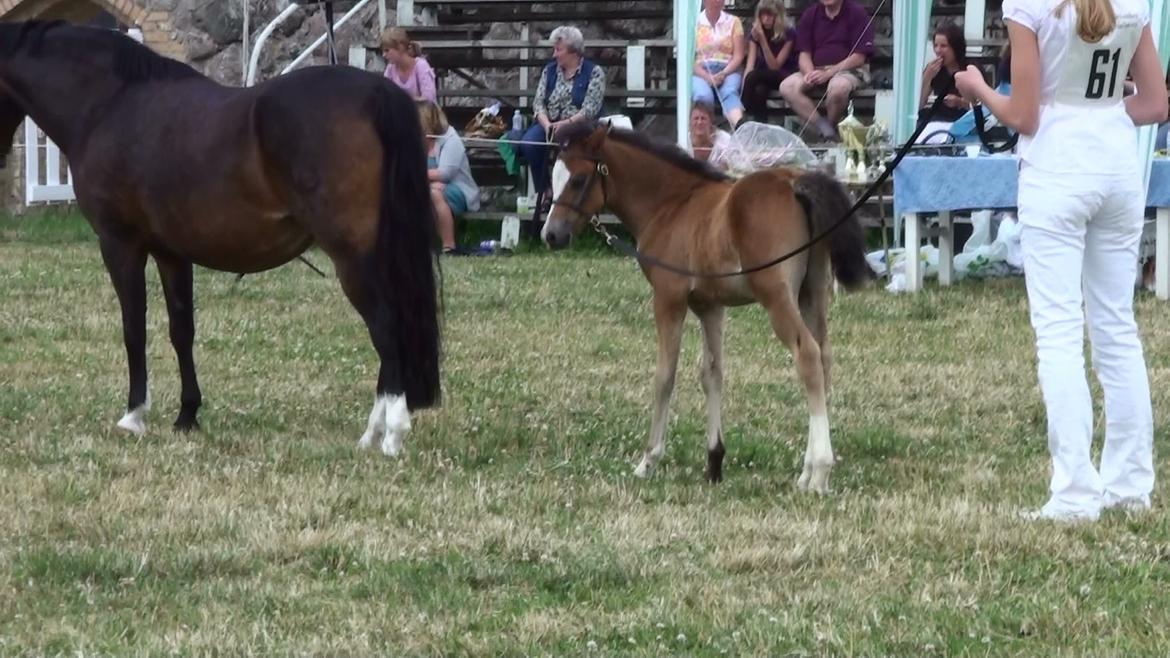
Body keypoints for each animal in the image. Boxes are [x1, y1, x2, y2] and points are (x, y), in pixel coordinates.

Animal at [0, 21, 441, 456]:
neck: (109, 104)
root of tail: (377, 93)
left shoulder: (120, 244)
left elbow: (133, 328)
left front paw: (134, 416)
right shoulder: (171, 252)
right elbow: (181, 330)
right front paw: (187, 415)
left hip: (352, 256)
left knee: (386, 326)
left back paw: (391, 434)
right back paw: (371, 435)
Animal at [543, 122, 872, 493]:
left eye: (578, 179)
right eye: (554, 177)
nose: (551, 235)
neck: (671, 205)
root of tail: (793, 181)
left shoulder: (668, 298)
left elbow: (665, 375)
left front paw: (648, 459)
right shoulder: (710, 306)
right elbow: (712, 373)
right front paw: (714, 461)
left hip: (777, 296)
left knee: (808, 355)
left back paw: (819, 472)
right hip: (811, 293)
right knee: (824, 355)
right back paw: (805, 472)